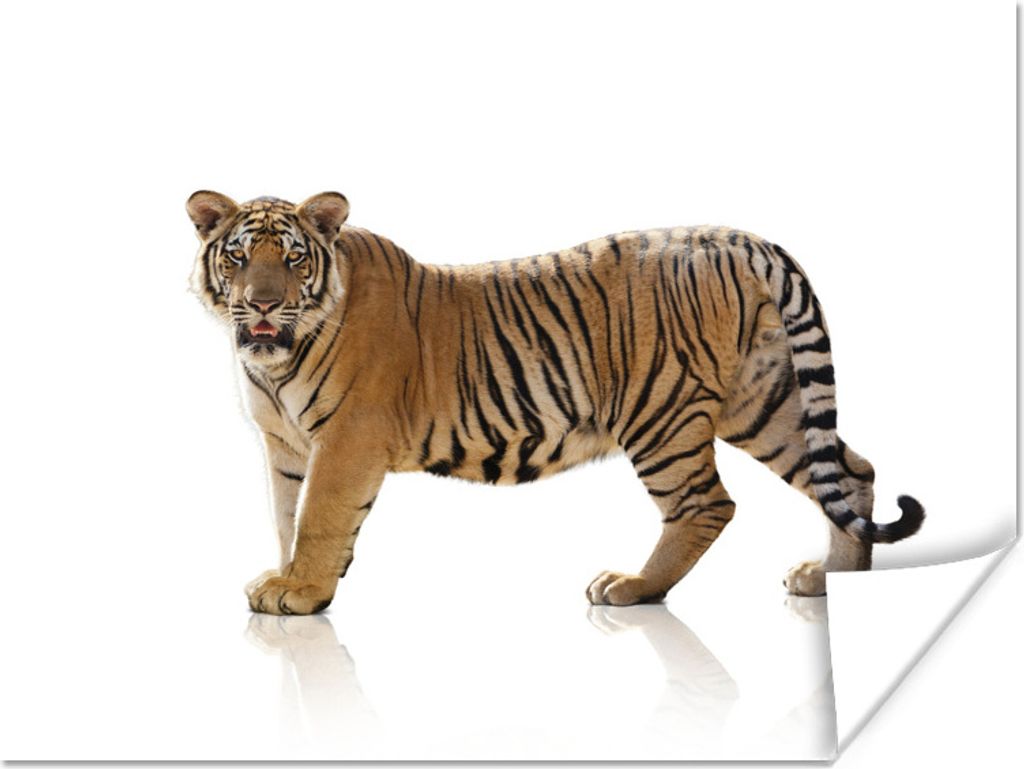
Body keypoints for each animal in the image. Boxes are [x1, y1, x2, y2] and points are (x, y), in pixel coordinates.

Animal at [187, 190, 924, 616]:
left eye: (291, 258)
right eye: (238, 257)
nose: (260, 303)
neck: (273, 360)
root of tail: (738, 238)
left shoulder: (347, 440)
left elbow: (317, 518)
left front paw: (301, 592)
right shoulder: (285, 445)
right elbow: (286, 516)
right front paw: (288, 578)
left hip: (661, 414)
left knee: (706, 505)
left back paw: (633, 586)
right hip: (766, 401)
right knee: (849, 471)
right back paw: (832, 578)